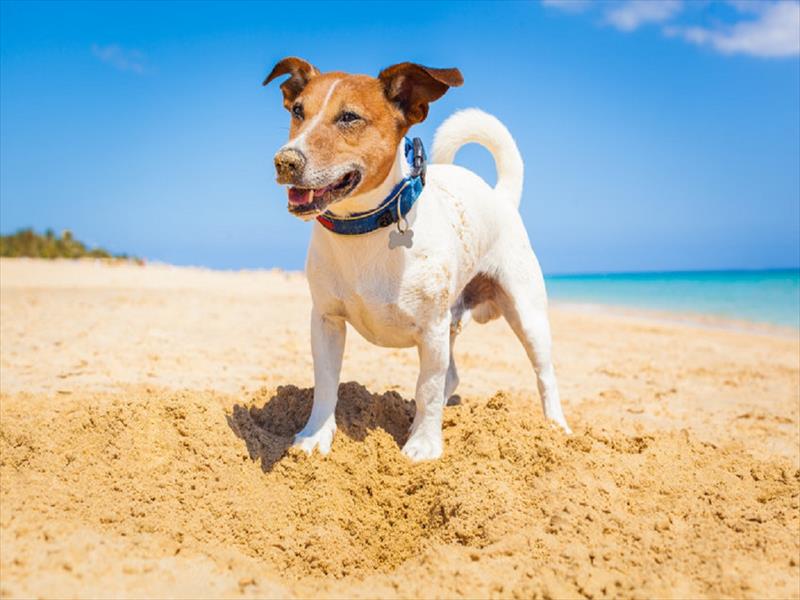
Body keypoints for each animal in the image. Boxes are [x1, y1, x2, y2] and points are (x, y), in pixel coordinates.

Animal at [266, 57, 572, 460]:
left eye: (349, 117)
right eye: (298, 111)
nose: (285, 160)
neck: (364, 230)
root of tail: (500, 197)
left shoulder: (431, 330)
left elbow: (427, 389)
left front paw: (424, 446)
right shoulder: (326, 321)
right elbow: (327, 384)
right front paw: (315, 437)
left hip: (527, 316)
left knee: (544, 375)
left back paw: (556, 428)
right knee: (452, 376)